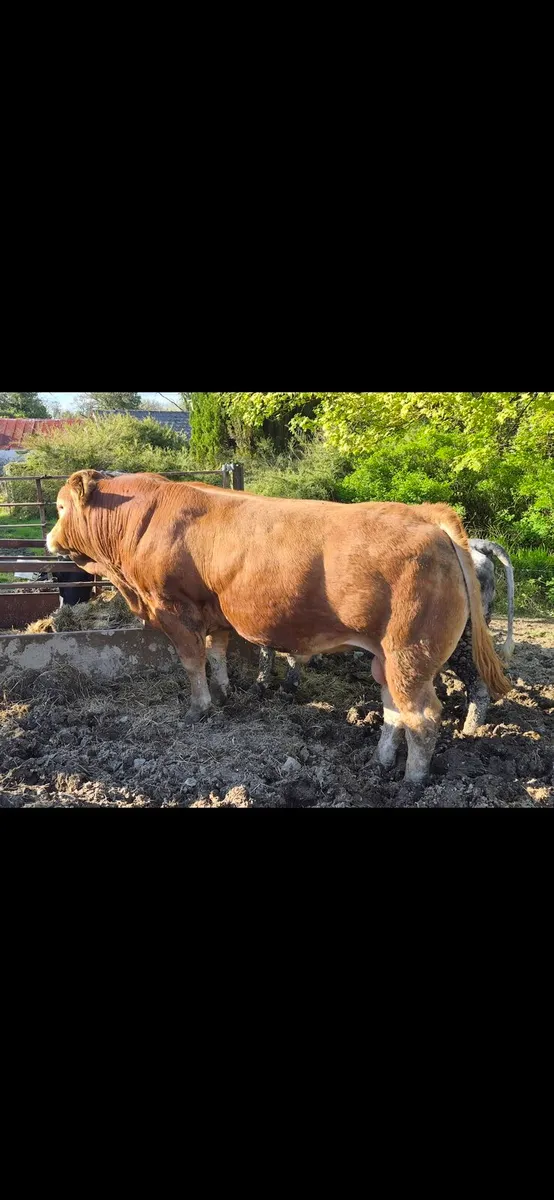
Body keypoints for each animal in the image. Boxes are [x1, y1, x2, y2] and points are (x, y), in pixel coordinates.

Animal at [258, 539, 516, 736]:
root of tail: (478, 546)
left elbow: (276, 654)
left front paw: (272, 689)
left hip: (463, 635)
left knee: (479, 684)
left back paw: (469, 730)